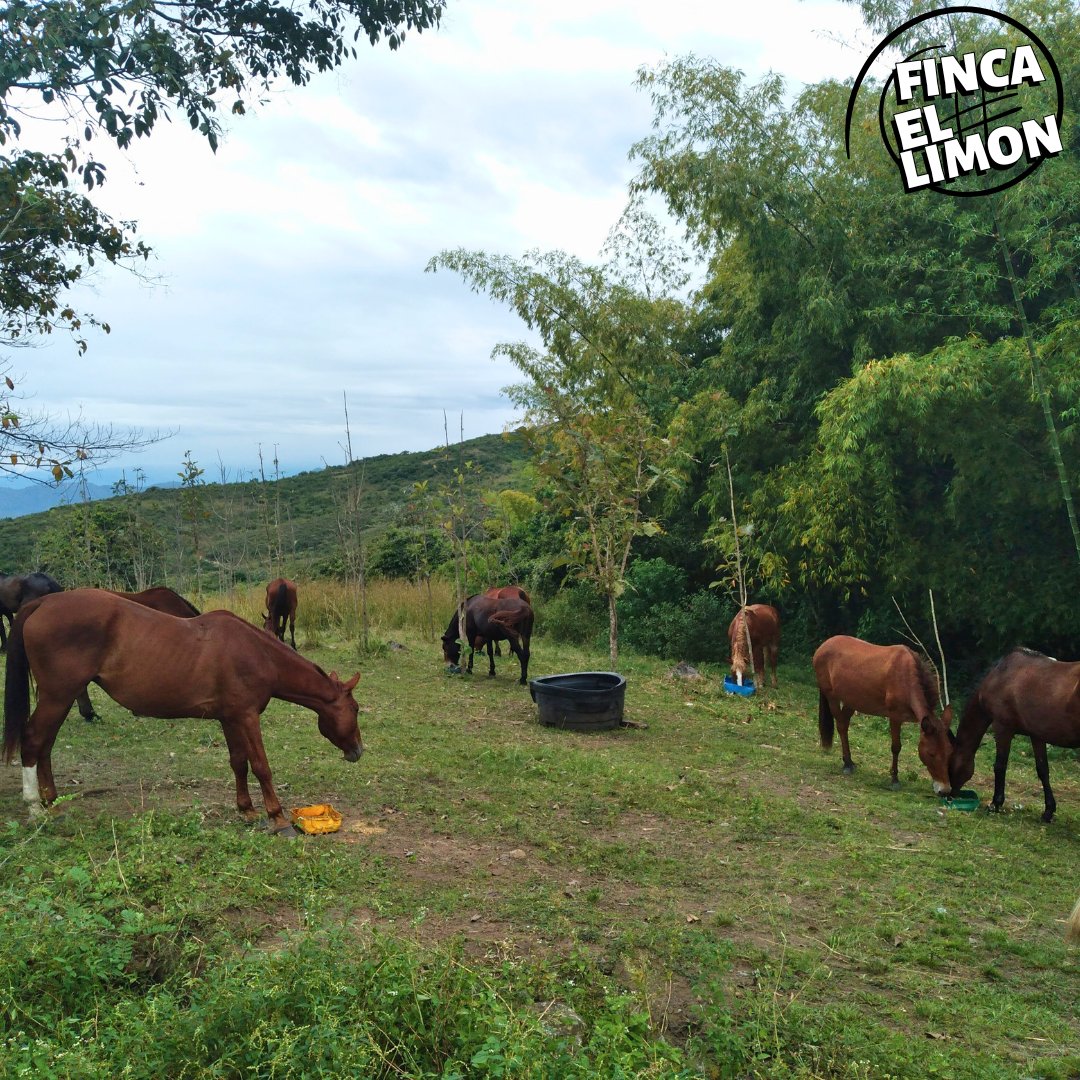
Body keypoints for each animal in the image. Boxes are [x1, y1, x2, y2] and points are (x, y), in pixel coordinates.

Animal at [2, 591, 365, 833]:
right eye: (356, 709)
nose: (358, 751)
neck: (256, 652)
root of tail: (43, 603)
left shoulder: (230, 718)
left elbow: (238, 763)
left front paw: (246, 810)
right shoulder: (247, 717)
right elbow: (261, 766)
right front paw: (276, 817)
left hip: (60, 699)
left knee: (45, 745)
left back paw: (51, 802)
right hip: (57, 696)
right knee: (33, 740)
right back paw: (35, 808)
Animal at [812, 630, 954, 794]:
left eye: (949, 752)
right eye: (931, 753)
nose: (945, 790)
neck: (906, 678)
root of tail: (822, 646)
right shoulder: (895, 717)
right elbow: (896, 747)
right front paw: (894, 779)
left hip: (852, 701)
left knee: (845, 725)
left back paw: (850, 762)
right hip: (832, 697)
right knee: (841, 726)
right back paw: (847, 764)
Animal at [950, 643, 1075, 820]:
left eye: (949, 761)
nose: (947, 793)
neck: (1000, 677)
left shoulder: (1003, 728)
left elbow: (1000, 765)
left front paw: (996, 803)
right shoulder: (1037, 735)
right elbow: (1043, 770)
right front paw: (1048, 811)